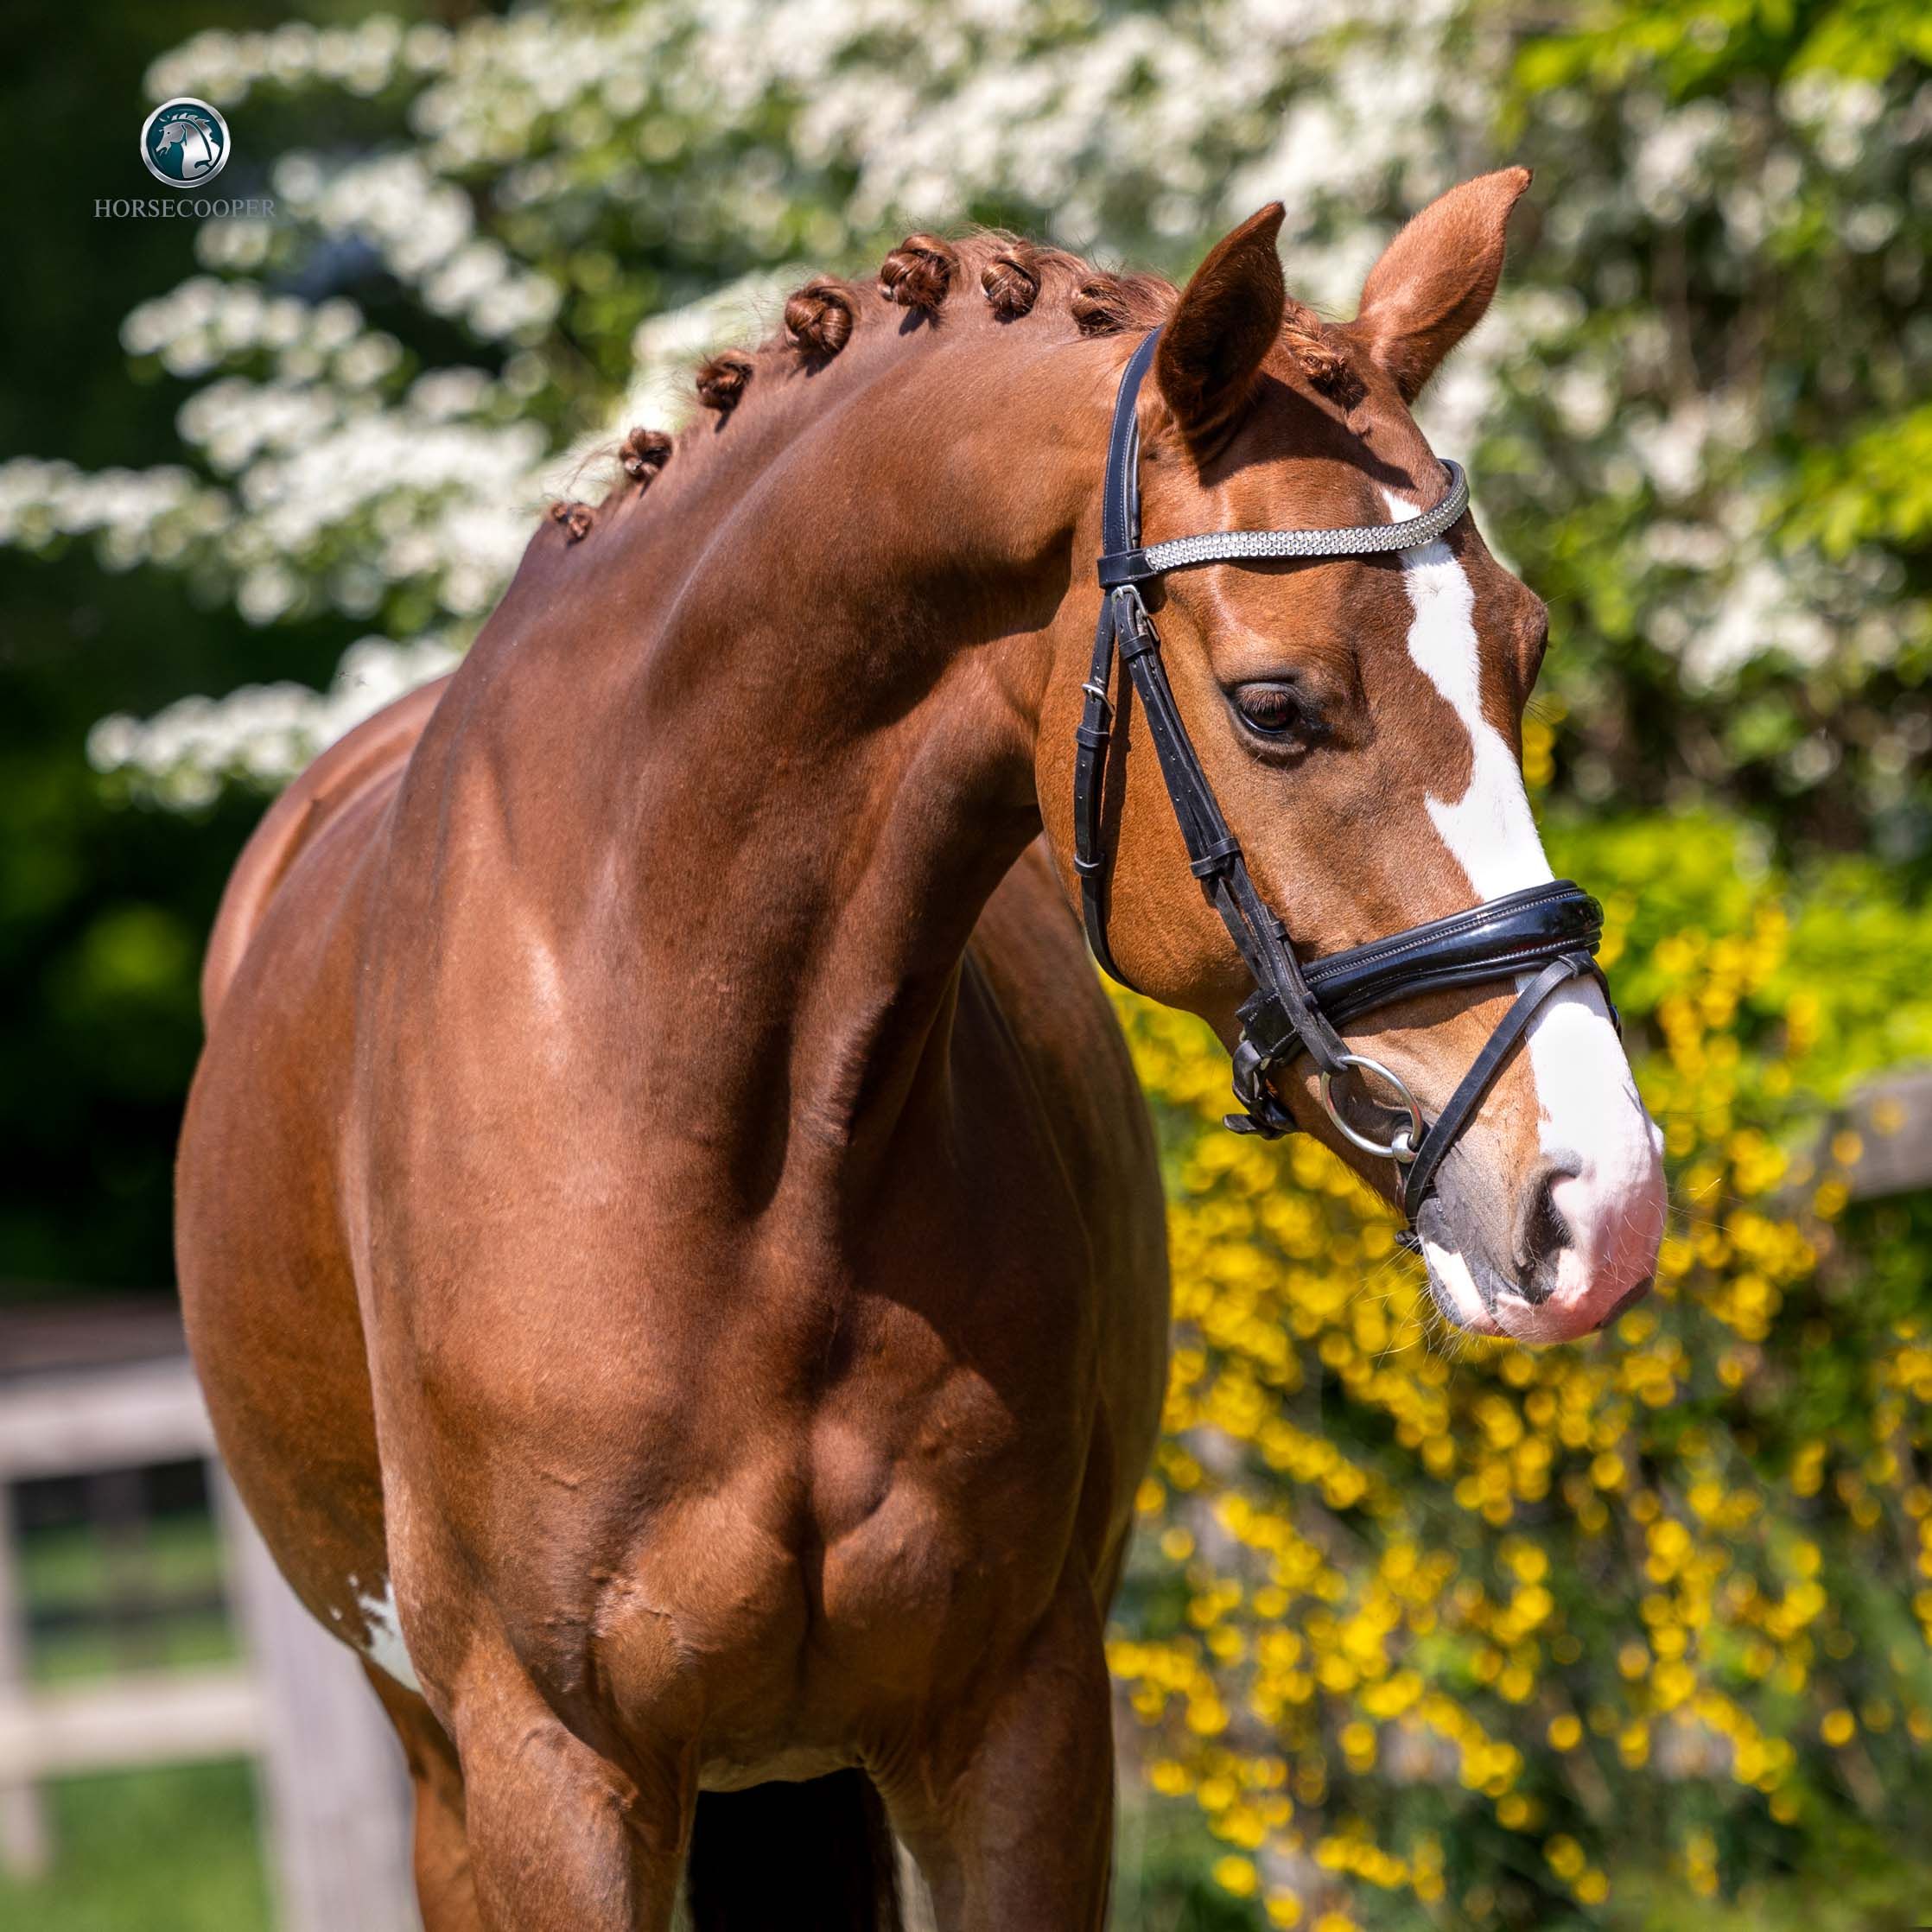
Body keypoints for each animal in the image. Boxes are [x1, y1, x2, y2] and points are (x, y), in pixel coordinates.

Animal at [176, 170, 1665, 1931]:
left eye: (1528, 649)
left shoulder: (1014, 1723)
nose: (1602, 1200)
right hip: (452, 1776)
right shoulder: (552, 1767)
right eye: (1277, 706)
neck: (710, 1129)